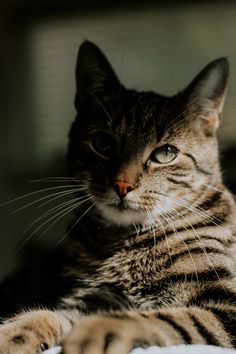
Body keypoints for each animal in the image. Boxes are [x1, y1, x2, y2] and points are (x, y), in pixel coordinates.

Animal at [0, 40, 236, 352]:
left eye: (166, 153)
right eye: (103, 144)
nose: (123, 185)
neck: (126, 241)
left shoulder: (225, 307)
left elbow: (163, 317)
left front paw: (100, 330)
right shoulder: (91, 298)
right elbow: (47, 314)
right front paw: (13, 332)